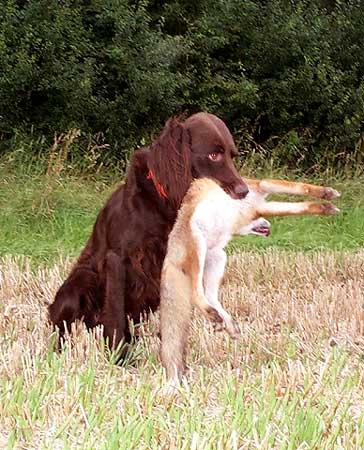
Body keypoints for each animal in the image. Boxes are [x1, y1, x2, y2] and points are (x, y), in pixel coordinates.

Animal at [161, 176, 340, 386]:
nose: (268, 227)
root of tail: (169, 255)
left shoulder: (262, 194)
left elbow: (300, 191)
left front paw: (326, 197)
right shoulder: (259, 202)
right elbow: (298, 201)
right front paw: (324, 204)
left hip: (218, 258)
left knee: (211, 297)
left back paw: (227, 323)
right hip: (198, 247)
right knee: (196, 294)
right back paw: (214, 316)